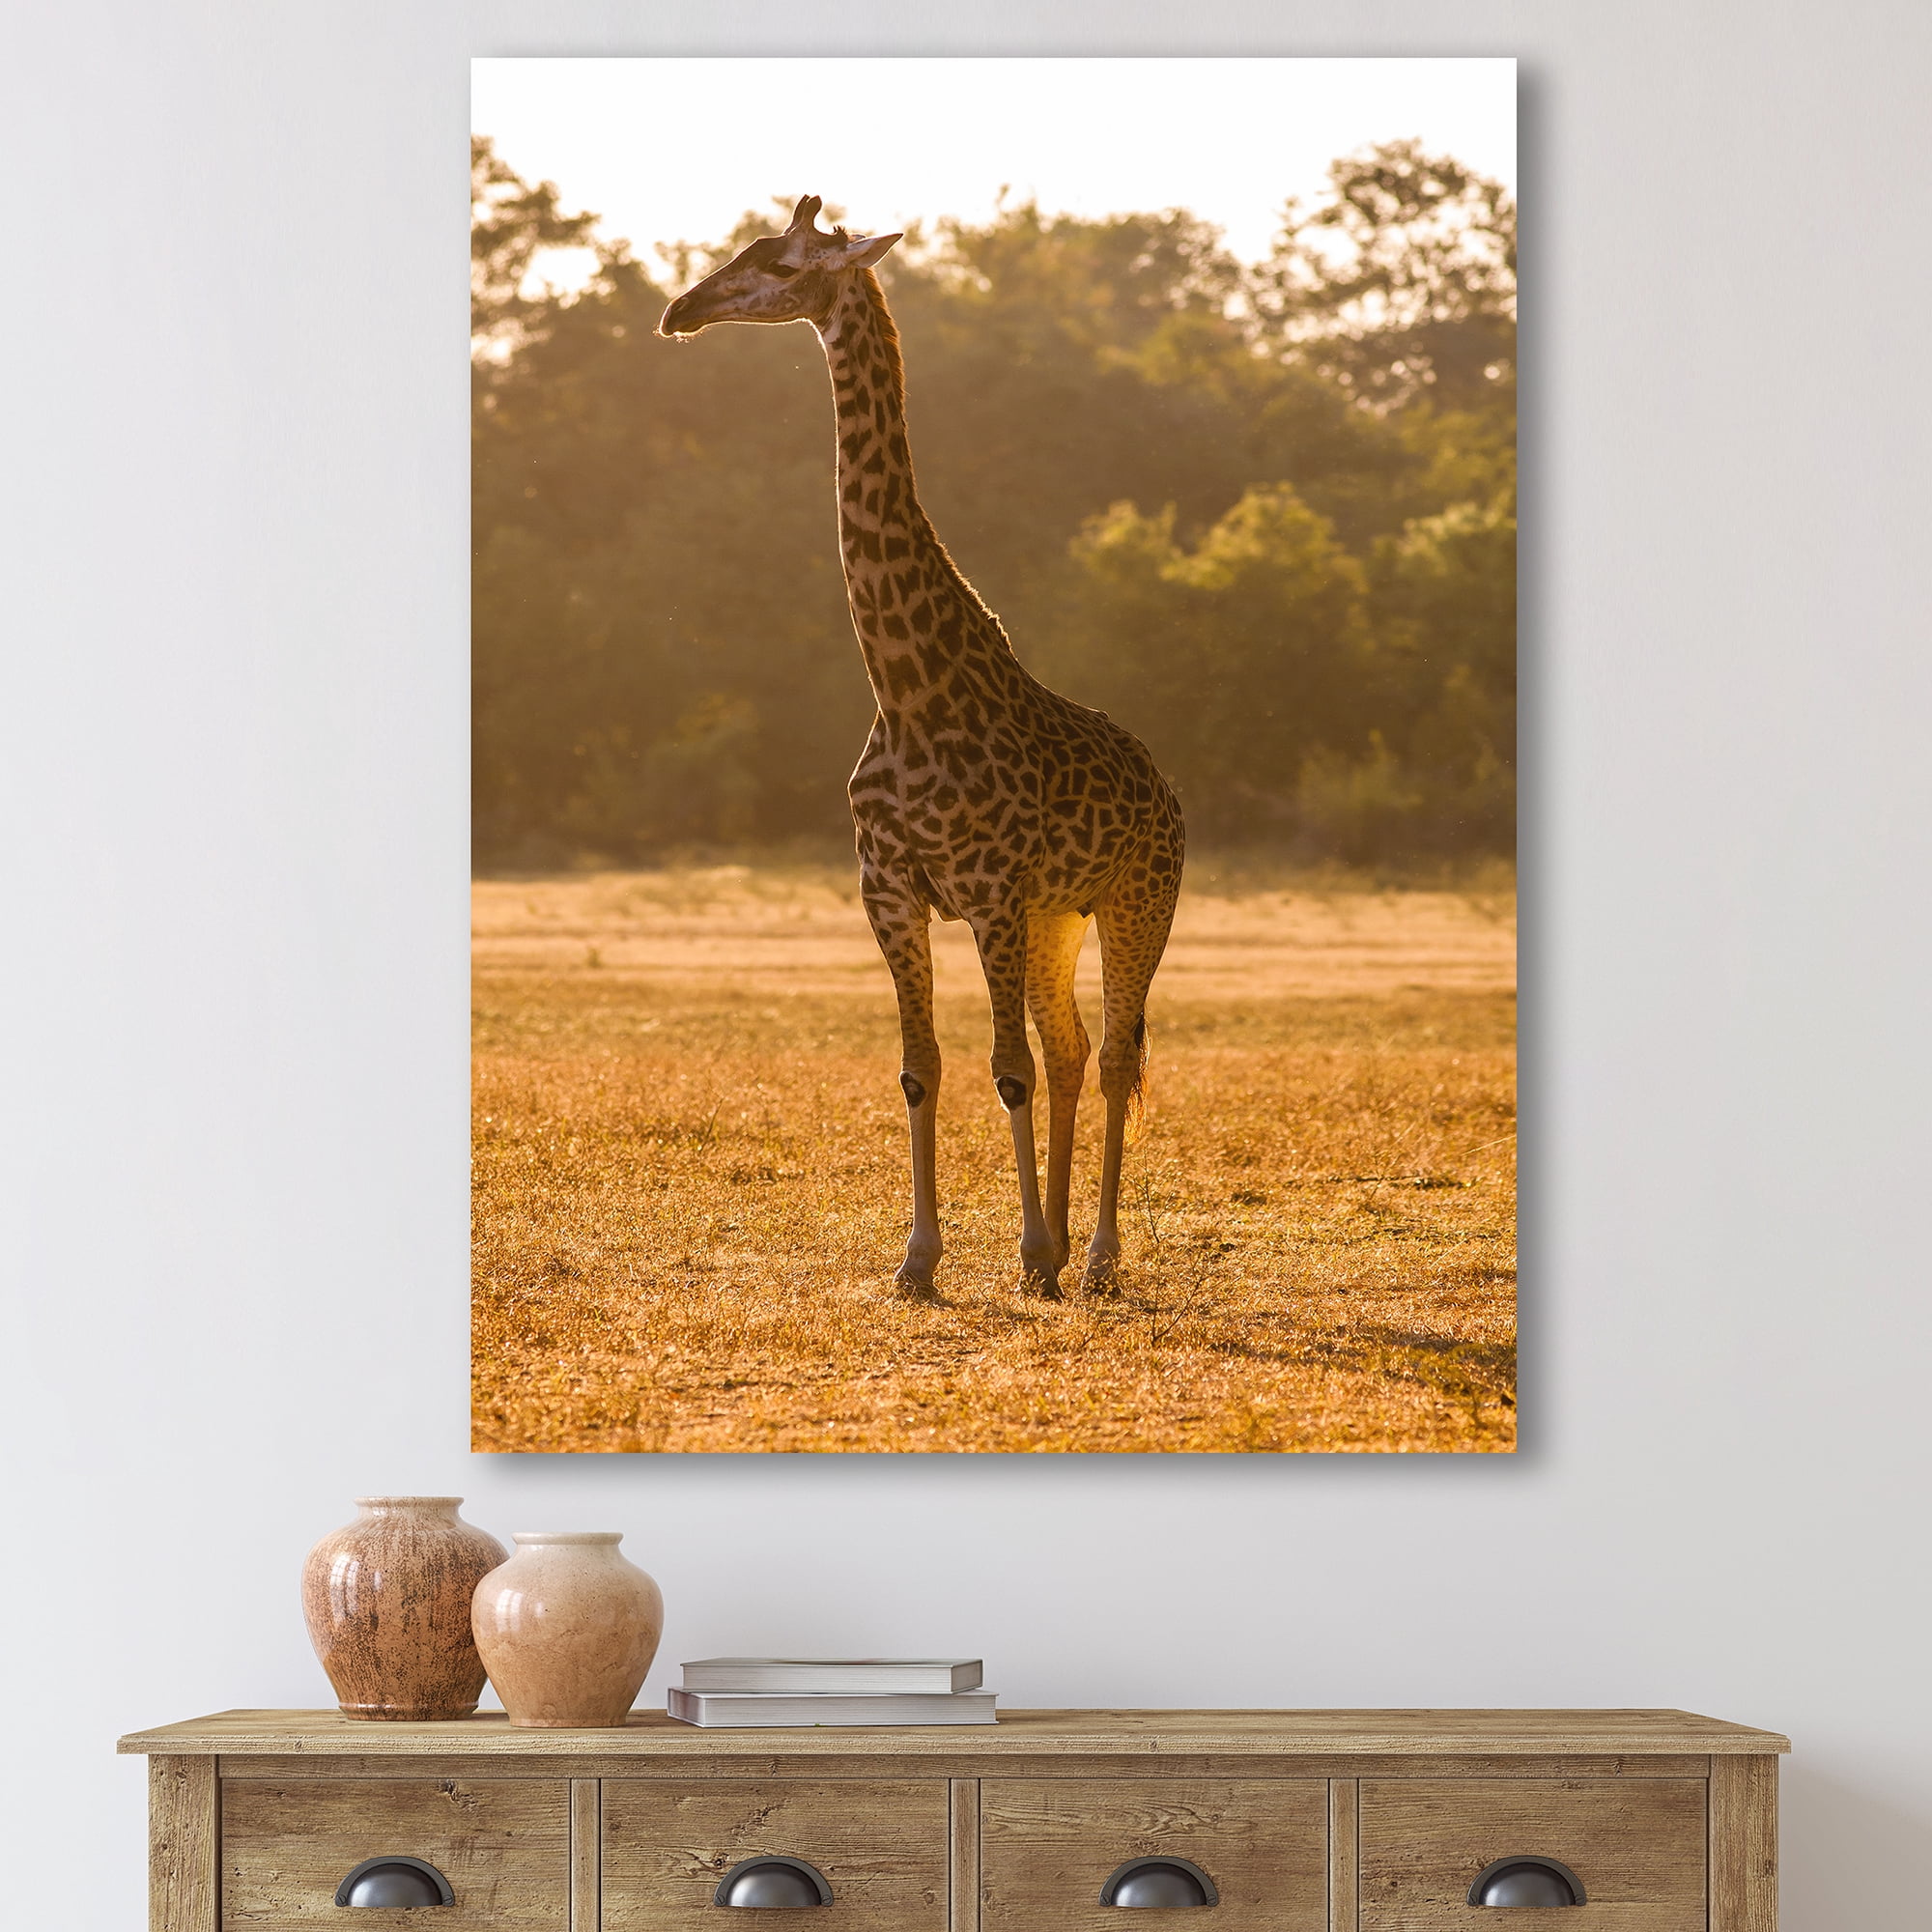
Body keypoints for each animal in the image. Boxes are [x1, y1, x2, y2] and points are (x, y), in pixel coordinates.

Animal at [660, 197, 1184, 1298]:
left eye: (779, 263)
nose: (680, 310)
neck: (904, 689)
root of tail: (1167, 789)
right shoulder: (892, 891)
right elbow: (923, 1067)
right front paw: (923, 1260)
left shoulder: (985, 891)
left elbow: (1002, 1071)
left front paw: (1026, 1253)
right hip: (1055, 917)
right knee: (1070, 1049)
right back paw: (1060, 1246)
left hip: (1135, 900)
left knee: (1115, 1056)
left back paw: (1094, 1258)